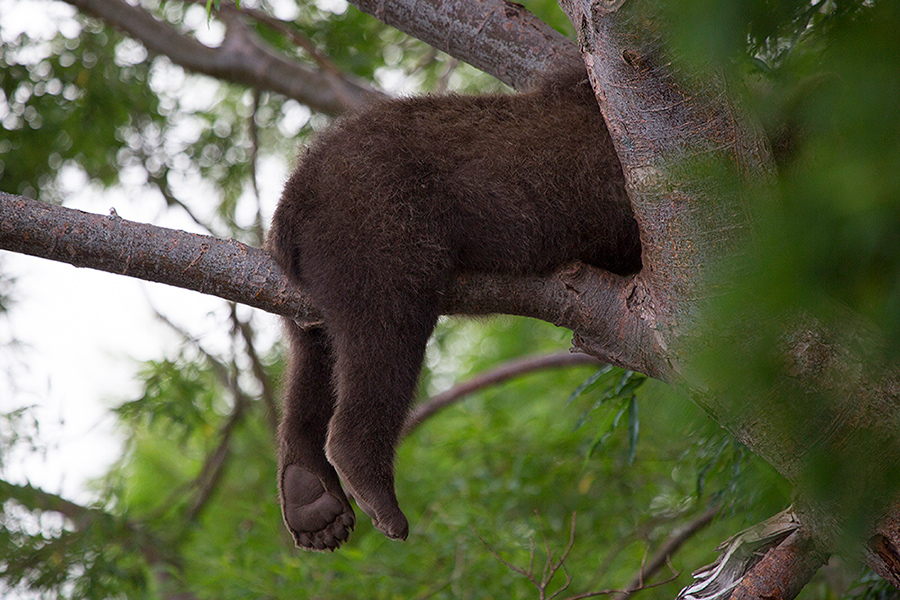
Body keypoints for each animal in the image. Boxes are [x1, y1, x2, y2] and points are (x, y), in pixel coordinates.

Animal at [266, 67, 640, 552]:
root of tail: (294, 197)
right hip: (380, 224)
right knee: (384, 335)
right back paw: (368, 482)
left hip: (307, 280)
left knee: (313, 359)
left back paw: (312, 502)